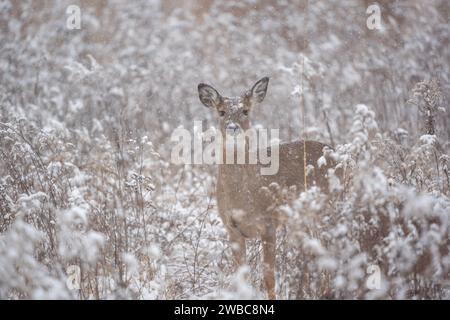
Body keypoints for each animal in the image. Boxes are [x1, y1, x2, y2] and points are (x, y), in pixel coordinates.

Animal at [198, 76, 338, 298]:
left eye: (245, 110)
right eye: (221, 111)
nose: (232, 127)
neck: (243, 197)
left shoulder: (269, 224)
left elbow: (269, 278)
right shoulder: (232, 229)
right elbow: (241, 277)